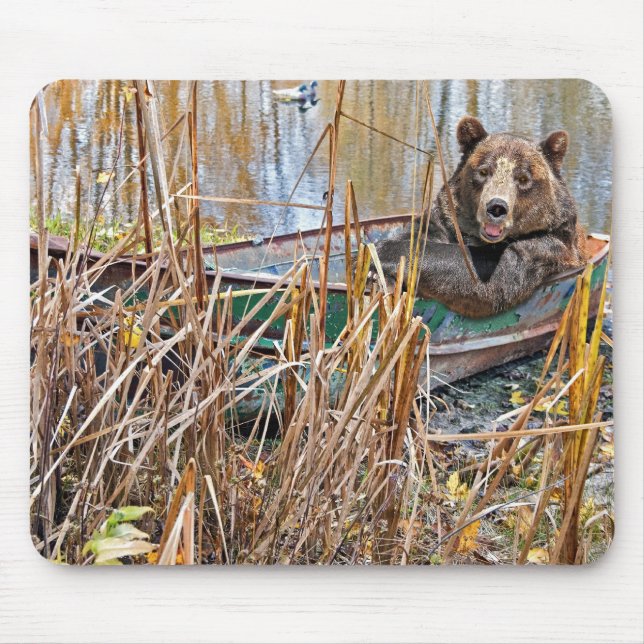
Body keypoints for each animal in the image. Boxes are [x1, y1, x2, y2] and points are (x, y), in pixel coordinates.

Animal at [373, 115, 587, 318]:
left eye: (523, 178)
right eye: (483, 171)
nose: (497, 208)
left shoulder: (547, 246)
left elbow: (488, 277)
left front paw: (383, 251)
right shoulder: (446, 221)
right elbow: (419, 234)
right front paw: (377, 273)